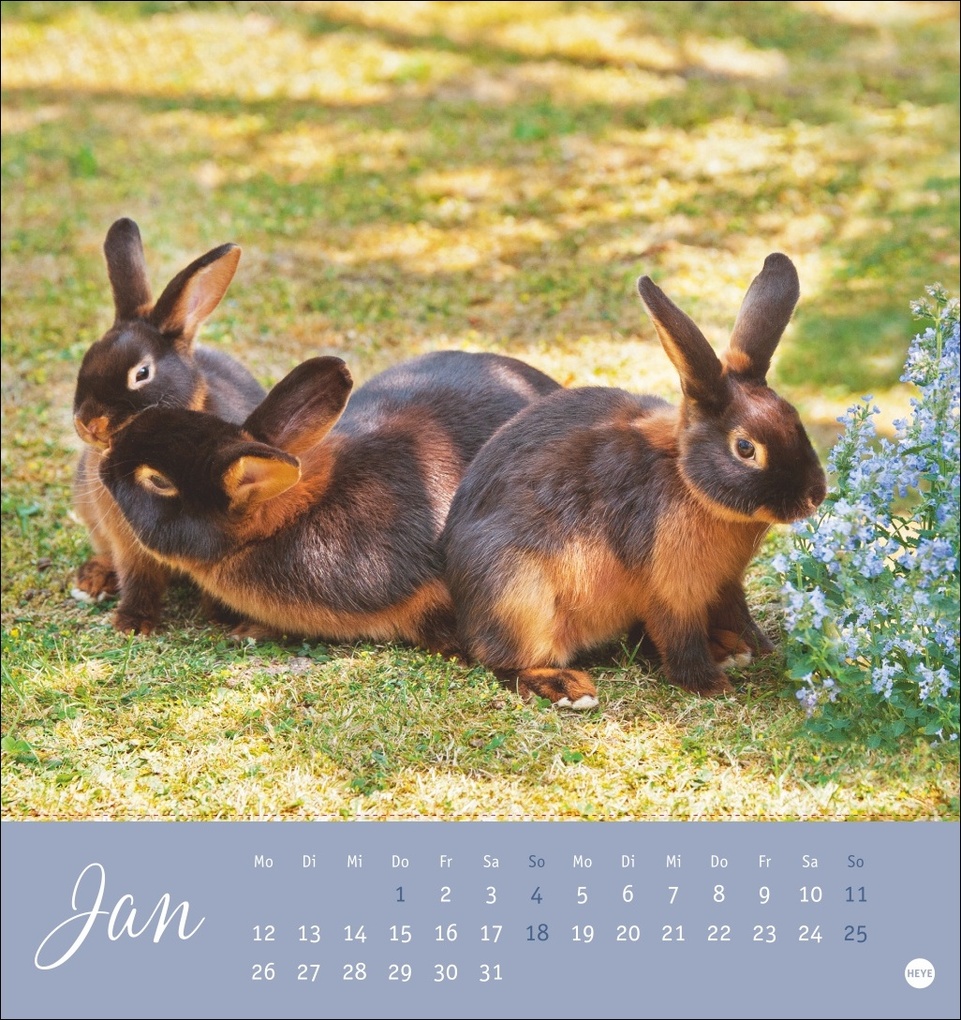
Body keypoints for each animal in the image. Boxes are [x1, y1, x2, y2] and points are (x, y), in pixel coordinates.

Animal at [72, 218, 265, 634]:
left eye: (142, 373)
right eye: (88, 356)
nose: (88, 424)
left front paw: (226, 618)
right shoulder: (129, 546)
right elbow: (138, 578)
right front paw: (133, 623)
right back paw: (93, 579)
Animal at [440, 253, 827, 709]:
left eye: (794, 418)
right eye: (745, 448)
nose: (814, 496)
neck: (688, 482)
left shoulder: (725, 582)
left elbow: (738, 612)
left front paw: (761, 649)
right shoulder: (671, 587)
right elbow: (679, 637)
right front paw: (707, 684)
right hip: (520, 598)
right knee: (505, 662)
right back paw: (567, 688)